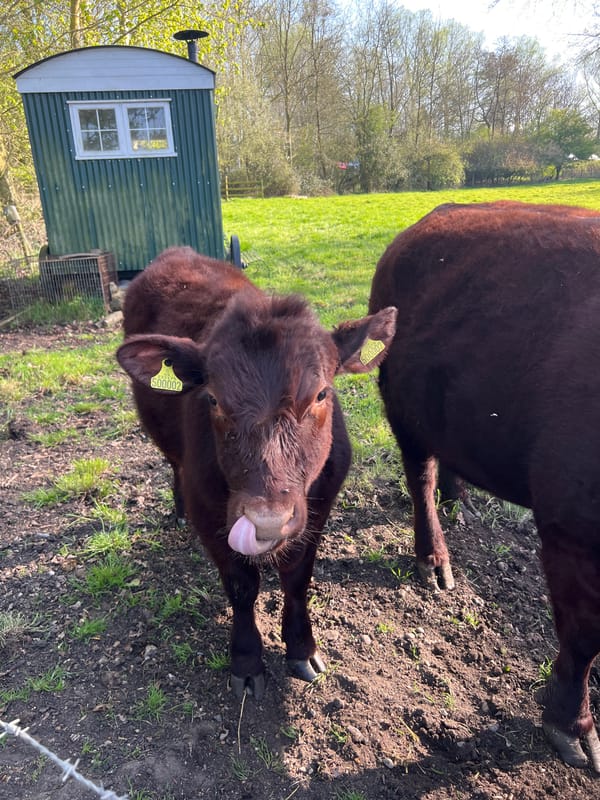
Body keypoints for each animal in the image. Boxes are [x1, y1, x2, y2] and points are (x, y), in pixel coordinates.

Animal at [117, 246, 397, 699]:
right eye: (213, 399)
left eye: (321, 394)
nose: (267, 521)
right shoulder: (209, 508)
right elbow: (242, 585)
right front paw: (247, 660)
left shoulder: (318, 508)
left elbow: (298, 578)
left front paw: (302, 648)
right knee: (173, 464)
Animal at [368, 200, 600, 772]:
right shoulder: (571, 527)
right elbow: (584, 636)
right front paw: (572, 726)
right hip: (402, 404)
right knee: (420, 476)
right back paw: (434, 561)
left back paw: (460, 499)